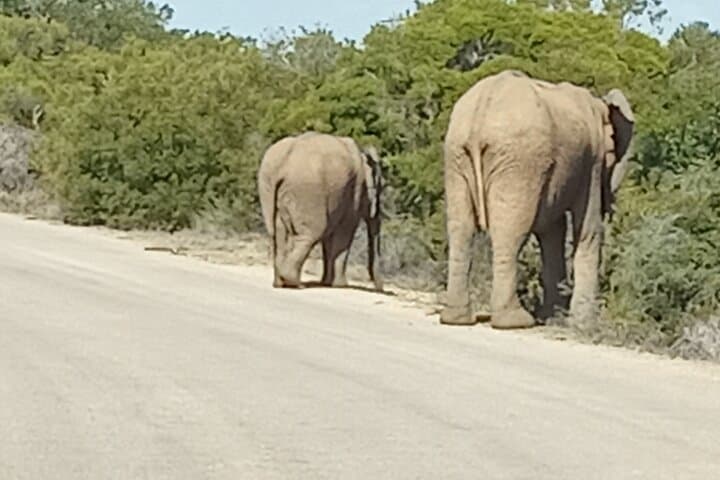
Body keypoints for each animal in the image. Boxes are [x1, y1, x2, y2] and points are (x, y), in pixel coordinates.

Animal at [257, 132, 384, 291]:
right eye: (381, 188)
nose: (380, 289)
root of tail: (284, 161)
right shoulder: (354, 193)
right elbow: (344, 232)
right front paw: (340, 285)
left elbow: (330, 237)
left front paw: (327, 283)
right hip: (308, 192)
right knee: (311, 233)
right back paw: (296, 284)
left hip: (269, 189)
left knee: (277, 233)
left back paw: (280, 283)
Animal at [439, 69, 635, 330]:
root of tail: (481, 110)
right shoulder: (591, 162)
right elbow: (587, 229)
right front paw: (582, 324)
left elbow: (552, 231)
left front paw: (553, 317)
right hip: (520, 160)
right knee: (510, 233)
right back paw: (516, 321)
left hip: (457, 155)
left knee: (461, 229)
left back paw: (456, 319)